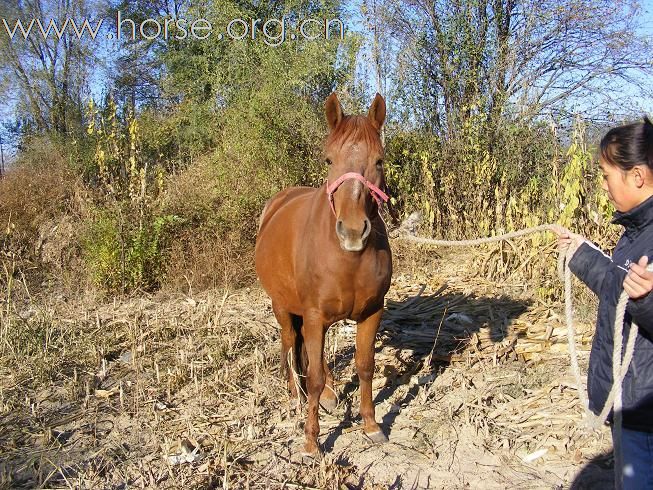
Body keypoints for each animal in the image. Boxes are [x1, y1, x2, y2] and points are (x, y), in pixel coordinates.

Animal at [255, 93, 392, 456]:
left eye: (380, 161)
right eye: (329, 160)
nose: (353, 231)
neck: (348, 258)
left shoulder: (371, 312)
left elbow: (365, 366)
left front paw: (371, 425)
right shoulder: (314, 314)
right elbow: (313, 375)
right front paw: (311, 441)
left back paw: (330, 395)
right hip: (283, 306)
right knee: (291, 344)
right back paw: (296, 394)